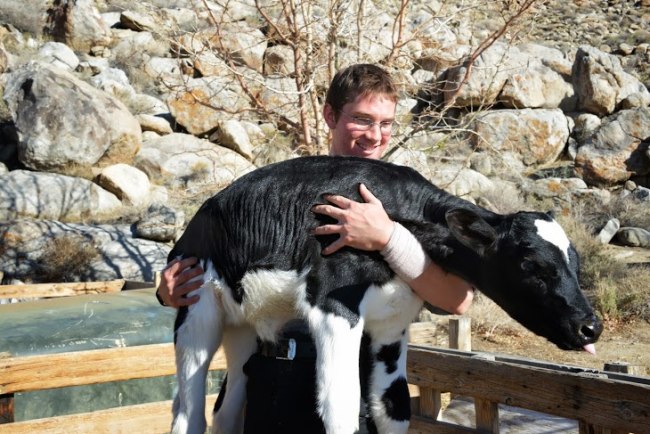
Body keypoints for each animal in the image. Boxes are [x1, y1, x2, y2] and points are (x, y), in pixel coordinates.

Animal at [168, 156, 604, 434]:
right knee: (189, 414)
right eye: (531, 265)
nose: (591, 326)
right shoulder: (333, 305)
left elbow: (393, 406)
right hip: (196, 311)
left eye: (577, 263)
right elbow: (342, 407)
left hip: (241, 328)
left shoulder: (394, 322)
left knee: (226, 412)